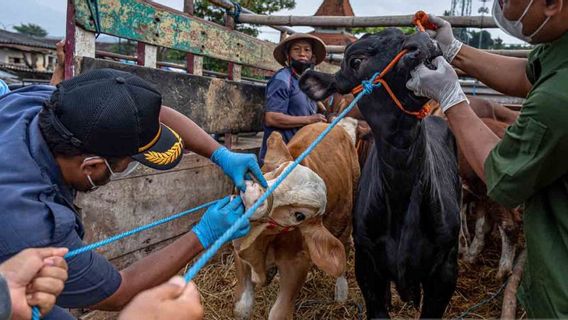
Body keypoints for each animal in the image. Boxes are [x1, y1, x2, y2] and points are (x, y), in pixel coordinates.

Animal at [232, 122, 358, 320]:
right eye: (277, 171)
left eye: (300, 216)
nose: (253, 196)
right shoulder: (240, 249)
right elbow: (242, 308)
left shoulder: (297, 263)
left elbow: (279, 314)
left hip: (347, 211)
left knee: (343, 247)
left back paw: (341, 291)